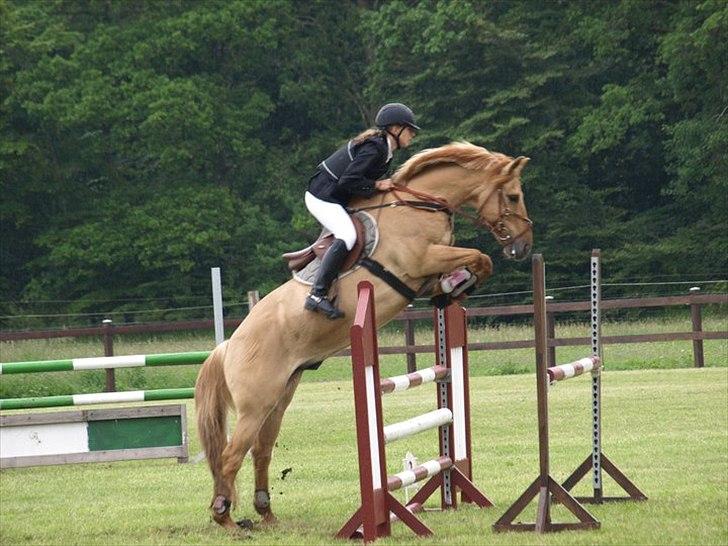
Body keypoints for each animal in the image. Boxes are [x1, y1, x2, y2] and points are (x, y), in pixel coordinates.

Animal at [196, 140, 532, 528]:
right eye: (513, 196)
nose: (524, 246)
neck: (417, 206)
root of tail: (228, 346)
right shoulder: (423, 259)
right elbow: (480, 258)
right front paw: (455, 284)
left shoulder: (427, 269)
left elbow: (476, 264)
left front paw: (450, 289)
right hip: (255, 405)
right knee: (231, 455)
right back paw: (226, 518)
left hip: (279, 398)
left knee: (260, 450)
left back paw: (266, 514)